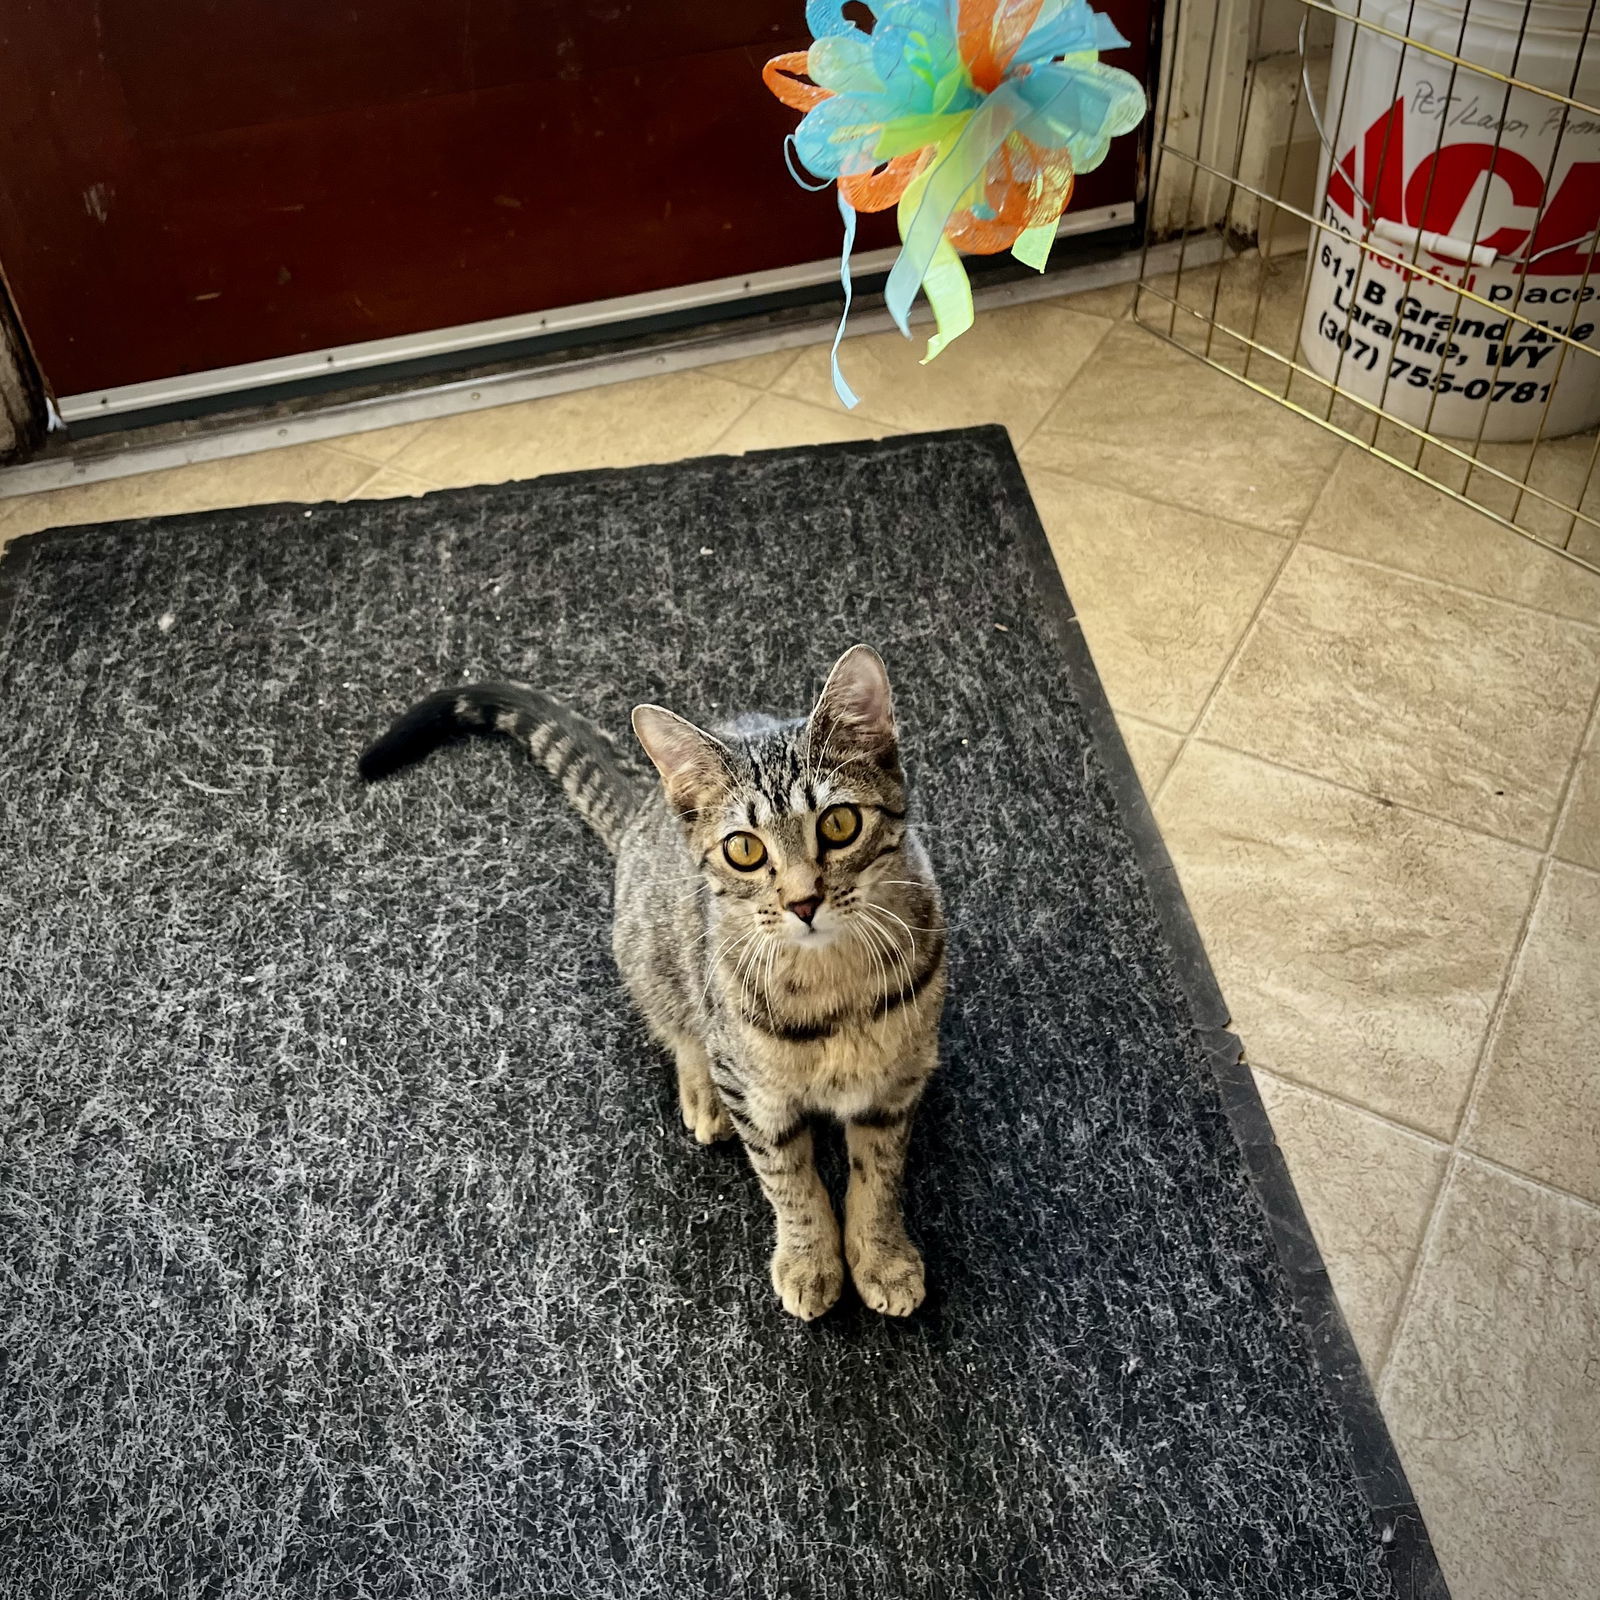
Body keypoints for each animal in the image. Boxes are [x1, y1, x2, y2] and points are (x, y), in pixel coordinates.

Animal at [356, 643, 940, 1318]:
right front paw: (809, 1258)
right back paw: (702, 1092)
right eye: (744, 850)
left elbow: (879, 1177)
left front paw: (882, 1256)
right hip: (656, 963)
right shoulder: (757, 1096)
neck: (833, 988)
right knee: (683, 1030)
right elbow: (789, 1183)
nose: (802, 902)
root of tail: (645, 802)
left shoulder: (897, 1084)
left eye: (840, 824)